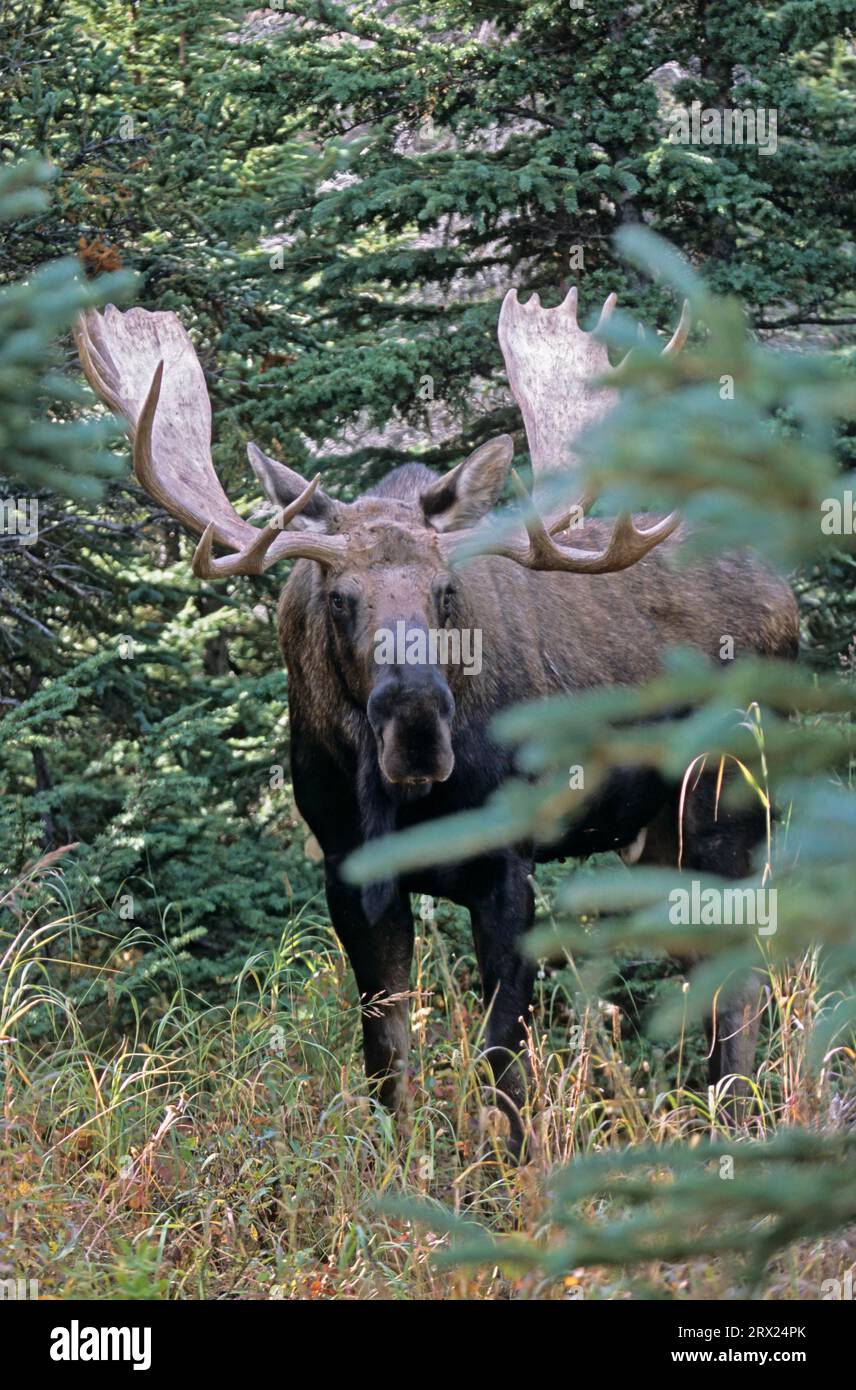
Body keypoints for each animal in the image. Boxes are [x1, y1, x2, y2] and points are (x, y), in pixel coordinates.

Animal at [76, 290, 800, 1150]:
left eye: (446, 591)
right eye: (339, 598)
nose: (416, 722)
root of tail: (790, 600)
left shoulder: (509, 863)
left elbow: (504, 1064)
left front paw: (507, 1176)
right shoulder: (348, 868)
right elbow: (387, 1058)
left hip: (729, 809)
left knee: (741, 988)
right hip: (657, 837)